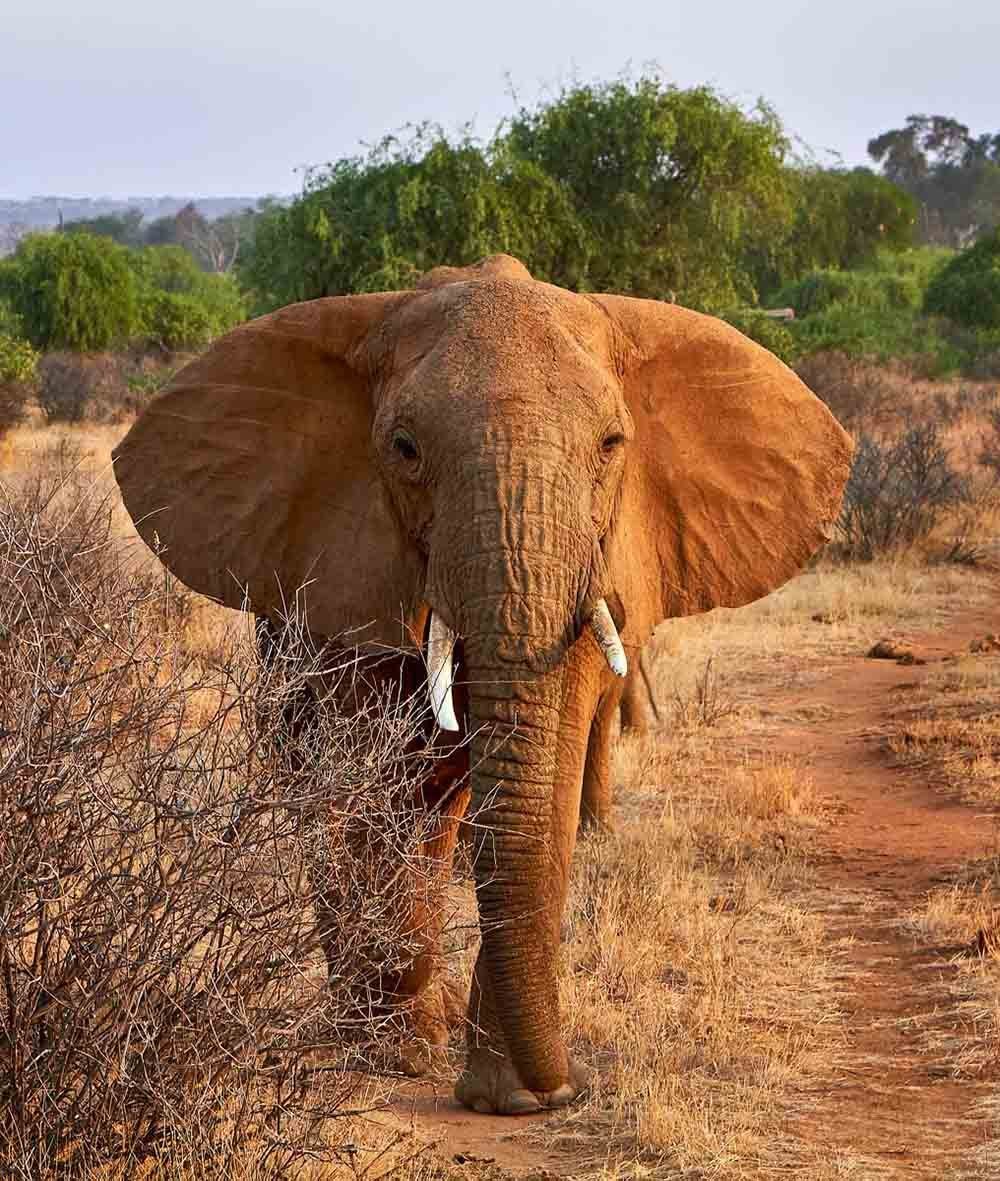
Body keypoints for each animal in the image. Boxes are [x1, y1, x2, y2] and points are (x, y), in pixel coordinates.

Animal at [115, 256, 854, 1114]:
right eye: (404, 449)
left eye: (612, 444)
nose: (570, 1084)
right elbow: (367, 779)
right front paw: (401, 1056)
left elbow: (543, 776)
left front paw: (509, 1097)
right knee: (329, 790)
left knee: (435, 809)